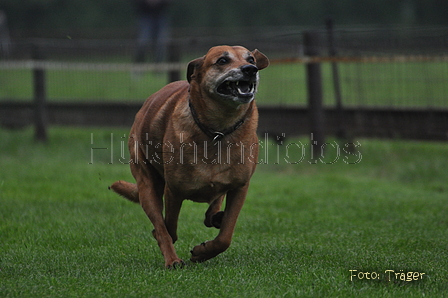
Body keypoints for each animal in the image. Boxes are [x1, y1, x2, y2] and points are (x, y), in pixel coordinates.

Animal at [110, 45, 268, 268]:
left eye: (251, 58)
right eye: (222, 61)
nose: (250, 69)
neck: (218, 131)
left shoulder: (239, 187)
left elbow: (225, 236)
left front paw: (203, 252)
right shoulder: (173, 190)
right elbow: (168, 228)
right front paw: (177, 253)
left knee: (213, 208)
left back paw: (215, 218)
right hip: (146, 182)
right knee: (161, 221)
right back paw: (172, 259)